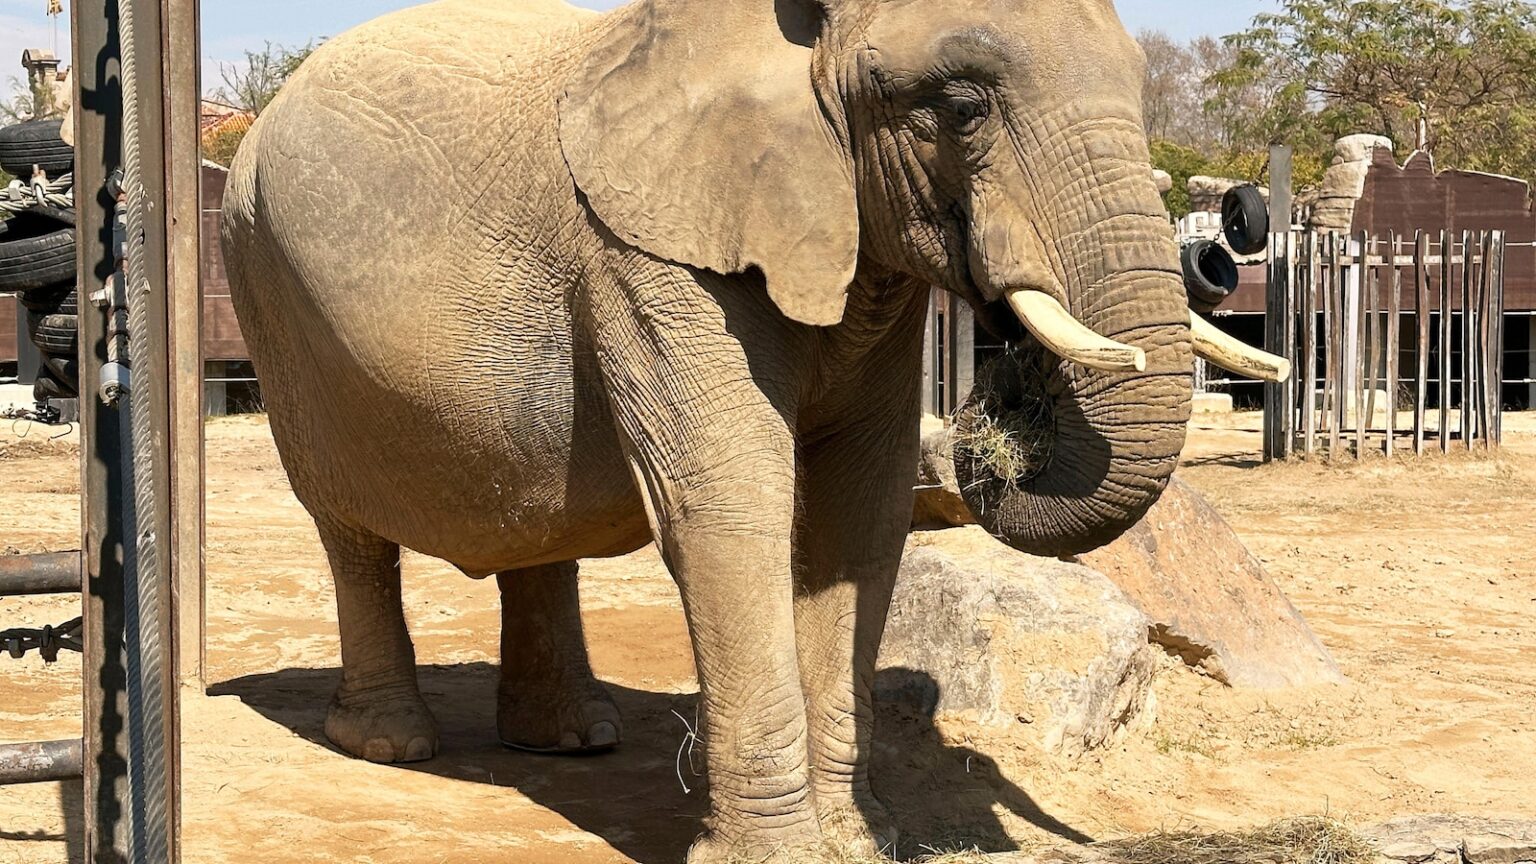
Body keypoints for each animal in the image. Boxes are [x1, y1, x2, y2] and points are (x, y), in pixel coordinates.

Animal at [221, 0, 1283, 859]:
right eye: (961, 105)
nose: (1004, 403)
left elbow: (859, 514)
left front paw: (859, 842)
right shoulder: (648, 254)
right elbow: (732, 506)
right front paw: (782, 857)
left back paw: (571, 738)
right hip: (267, 292)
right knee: (346, 529)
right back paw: (389, 743)